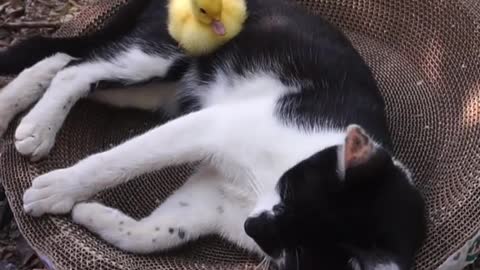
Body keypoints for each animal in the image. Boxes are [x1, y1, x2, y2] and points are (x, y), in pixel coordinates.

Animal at [0, 0, 428, 268]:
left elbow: (153, 233)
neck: (259, 186)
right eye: (289, 190)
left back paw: (14, 110)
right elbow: (123, 159)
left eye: (296, 250)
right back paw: (36, 126)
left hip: (156, 92)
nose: (252, 227)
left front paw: (90, 213)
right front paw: (57, 190)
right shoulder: (213, 125)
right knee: (76, 69)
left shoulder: (210, 200)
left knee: (66, 62)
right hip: (162, 53)